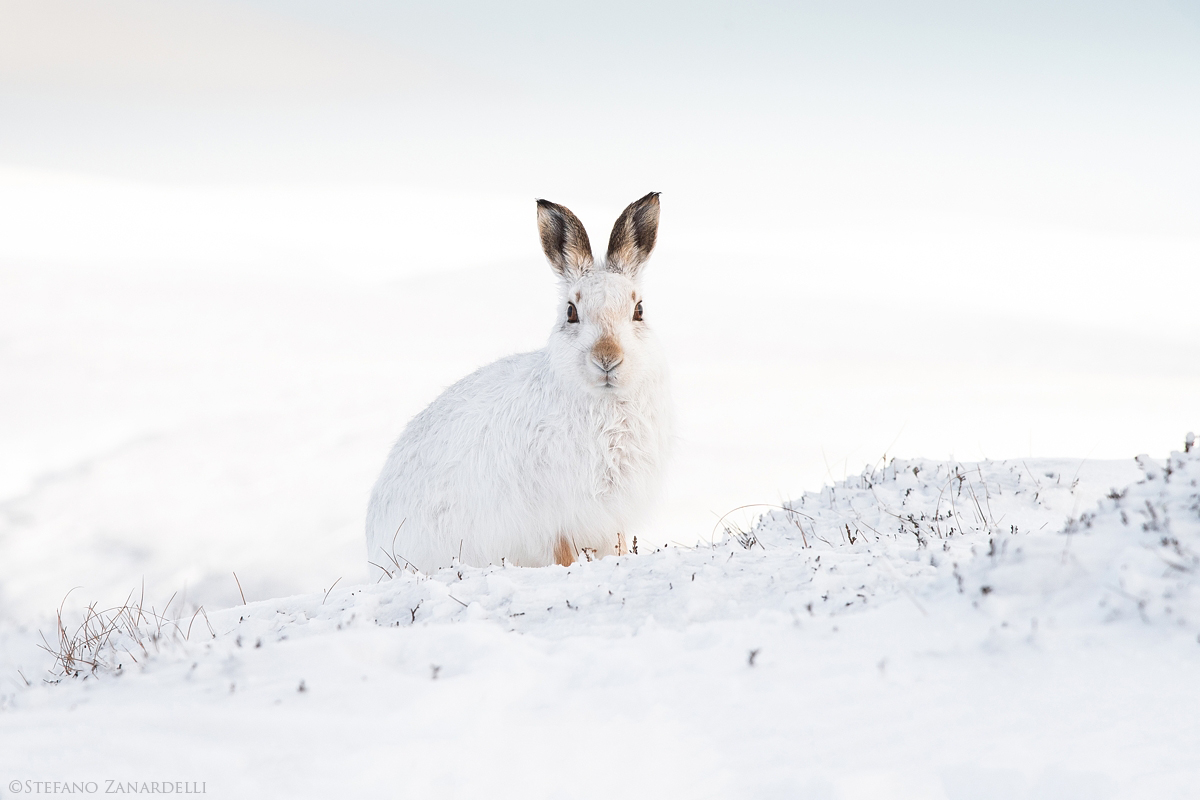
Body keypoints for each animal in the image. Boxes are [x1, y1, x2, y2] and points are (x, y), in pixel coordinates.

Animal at [365, 192, 674, 574]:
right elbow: (564, 554)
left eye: (639, 311)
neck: (603, 404)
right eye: (571, 312)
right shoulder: (558, 518)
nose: (607, 358)